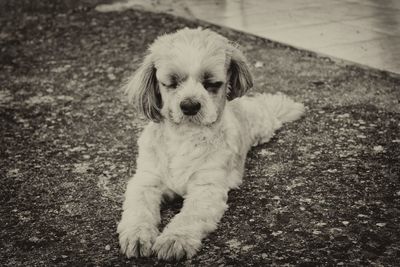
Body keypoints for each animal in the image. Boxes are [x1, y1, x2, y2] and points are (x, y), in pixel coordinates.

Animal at [117, 26, 304, 260]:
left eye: (212, 84)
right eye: (171, 83)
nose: (189, 105)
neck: (184, 136)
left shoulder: (206, 187)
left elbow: (190, 216)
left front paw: (175, 239)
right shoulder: (146, 181)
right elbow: (139, 209)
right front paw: (136, 235)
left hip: (264, 125)